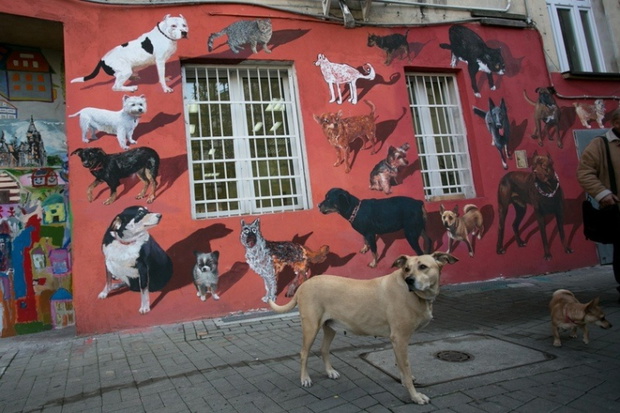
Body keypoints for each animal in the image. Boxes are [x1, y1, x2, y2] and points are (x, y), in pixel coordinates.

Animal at [269, 252, 458, 404]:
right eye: (406, 269)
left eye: (423, 267)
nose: (409, 280)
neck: (417, 296)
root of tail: (304, 285)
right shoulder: (400, 338)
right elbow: (405, 365)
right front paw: (415, 396)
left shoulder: (398, 341)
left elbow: (400, 365)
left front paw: (404, 380)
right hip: (311, 327)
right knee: (303, 353)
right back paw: (305, 378)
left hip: (330, 327)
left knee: (323, 349)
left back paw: (330, 371)